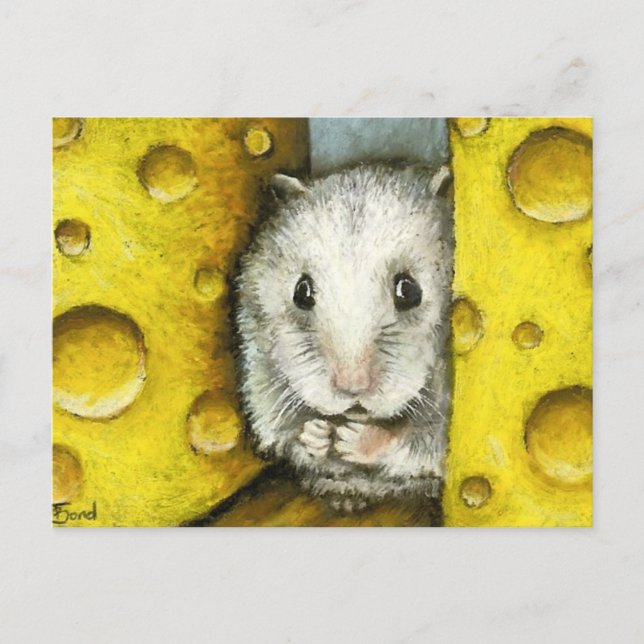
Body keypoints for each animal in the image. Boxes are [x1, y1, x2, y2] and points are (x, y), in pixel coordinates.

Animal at [234, 163, 454, 512]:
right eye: (301, 292)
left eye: (409, 290)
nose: (353, 389)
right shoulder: (262, 383)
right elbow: (289, 435)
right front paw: (319, 434)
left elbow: (418, 442)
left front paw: (350, 438)